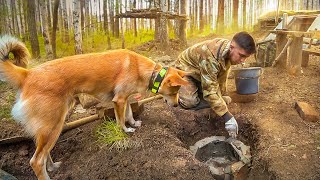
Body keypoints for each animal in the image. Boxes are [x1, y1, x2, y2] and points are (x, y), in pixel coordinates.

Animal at [0, 35, 189, 180]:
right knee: (36, 161)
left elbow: (129, 114)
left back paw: (52, 167)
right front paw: (125, 131)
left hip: (49, 127)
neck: (145, 70)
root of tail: (27, 74)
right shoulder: (119, 100)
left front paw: (133, 123)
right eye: (174, 91)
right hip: (53, 125)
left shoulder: (125, 99)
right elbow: (121, 120)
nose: (176, 104)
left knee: (43, 153)